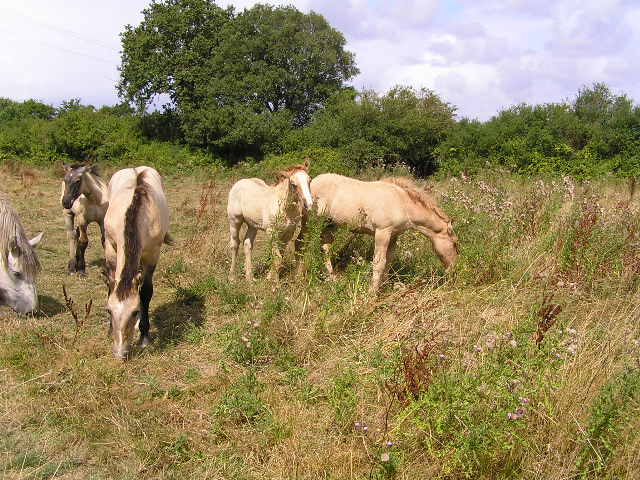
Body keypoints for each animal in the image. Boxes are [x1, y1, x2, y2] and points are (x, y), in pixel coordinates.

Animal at [104, 167, 171, 358]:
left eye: (134, 312)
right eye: (109, 310)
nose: (120, 353)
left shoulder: (152, 254)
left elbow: (145, 292)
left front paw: (144, 336)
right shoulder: (110, 248)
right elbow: (111, 285)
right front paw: (110, 329)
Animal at [302, 172, 458, 292]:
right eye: (455, 244)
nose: (454, 269)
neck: (402, 203)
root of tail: (312, 181)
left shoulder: (393, 235)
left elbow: (388, 261)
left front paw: (385, 286)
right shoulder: (382, 232)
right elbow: (379, 263)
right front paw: (373, 292)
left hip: (330, 223)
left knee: (325, 246)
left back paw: (332, 277)